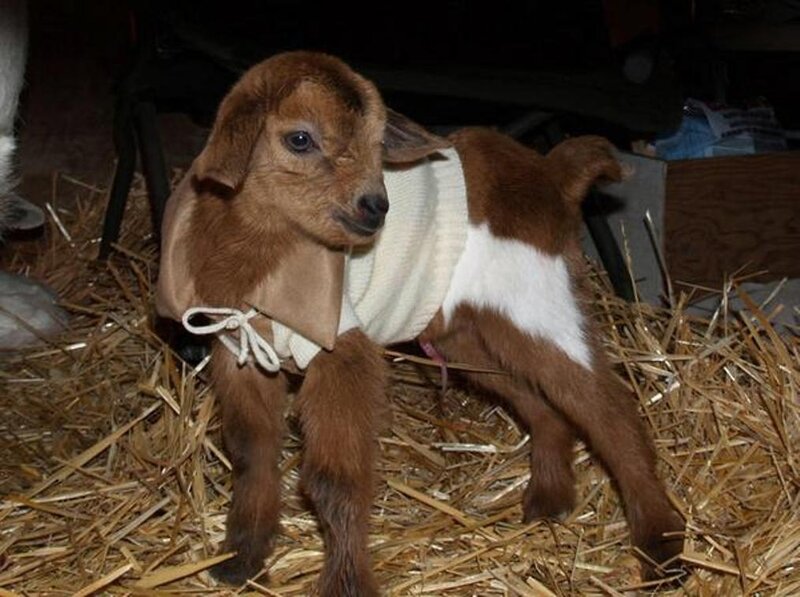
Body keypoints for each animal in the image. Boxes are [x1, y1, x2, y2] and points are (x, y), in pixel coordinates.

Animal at [156, 51, 685, 593]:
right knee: (540, 400)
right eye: (299, 138)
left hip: (537, 299)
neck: (262, 264)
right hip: (466, 334)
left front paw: (346, 582)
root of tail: (551, 174)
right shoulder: (240, 348)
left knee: (607, 406)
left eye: (377, 143)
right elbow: (250, 453)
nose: (375, 207)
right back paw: (550, 500)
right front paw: (240, 559)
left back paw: (663, 551)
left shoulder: (339, 346)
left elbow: (332, 480)